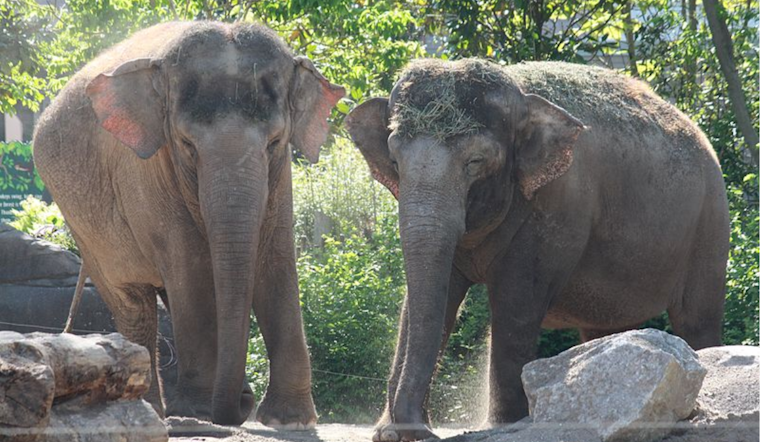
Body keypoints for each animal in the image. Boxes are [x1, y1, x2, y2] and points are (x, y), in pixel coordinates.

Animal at [33, 21, 345, 426]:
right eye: (186, 144)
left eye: (275, 141)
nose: (240, 407)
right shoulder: (147, 172)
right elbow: (190, 265)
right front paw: (197, 411)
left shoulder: (279, 177)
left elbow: (275, 258)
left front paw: (288, 420)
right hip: (82, 225)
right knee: (134, 303)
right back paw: (148, 408)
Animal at [346, 59, 729, 441]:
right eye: (395, 162)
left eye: (475, 161)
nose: (426, 431)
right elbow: (426, 302)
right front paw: (387, 433)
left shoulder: (555, 208)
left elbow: (516, 302)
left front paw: (502, 425)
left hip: (710, 224)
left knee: (697, 320)